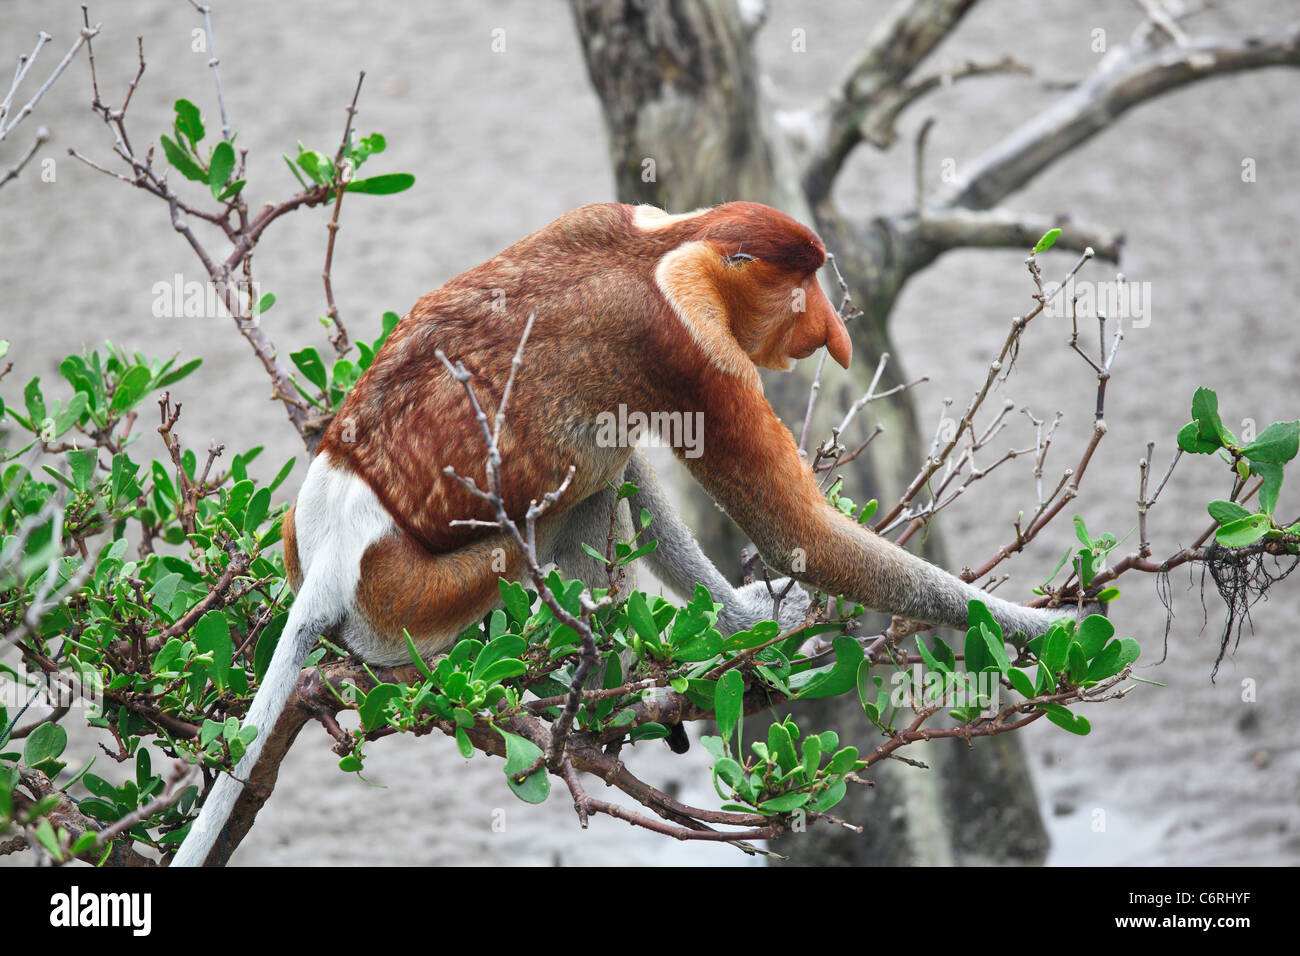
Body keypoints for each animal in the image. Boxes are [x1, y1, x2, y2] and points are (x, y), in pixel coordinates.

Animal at [172, 201, 1076, 868]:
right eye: (804, 286)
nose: (836, 334)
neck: (667, 248)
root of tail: (333, 548)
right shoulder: (695, 352)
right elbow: (798, 533)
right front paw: (1044, 626)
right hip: (414, 603)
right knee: (593, 483)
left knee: (616, 466)